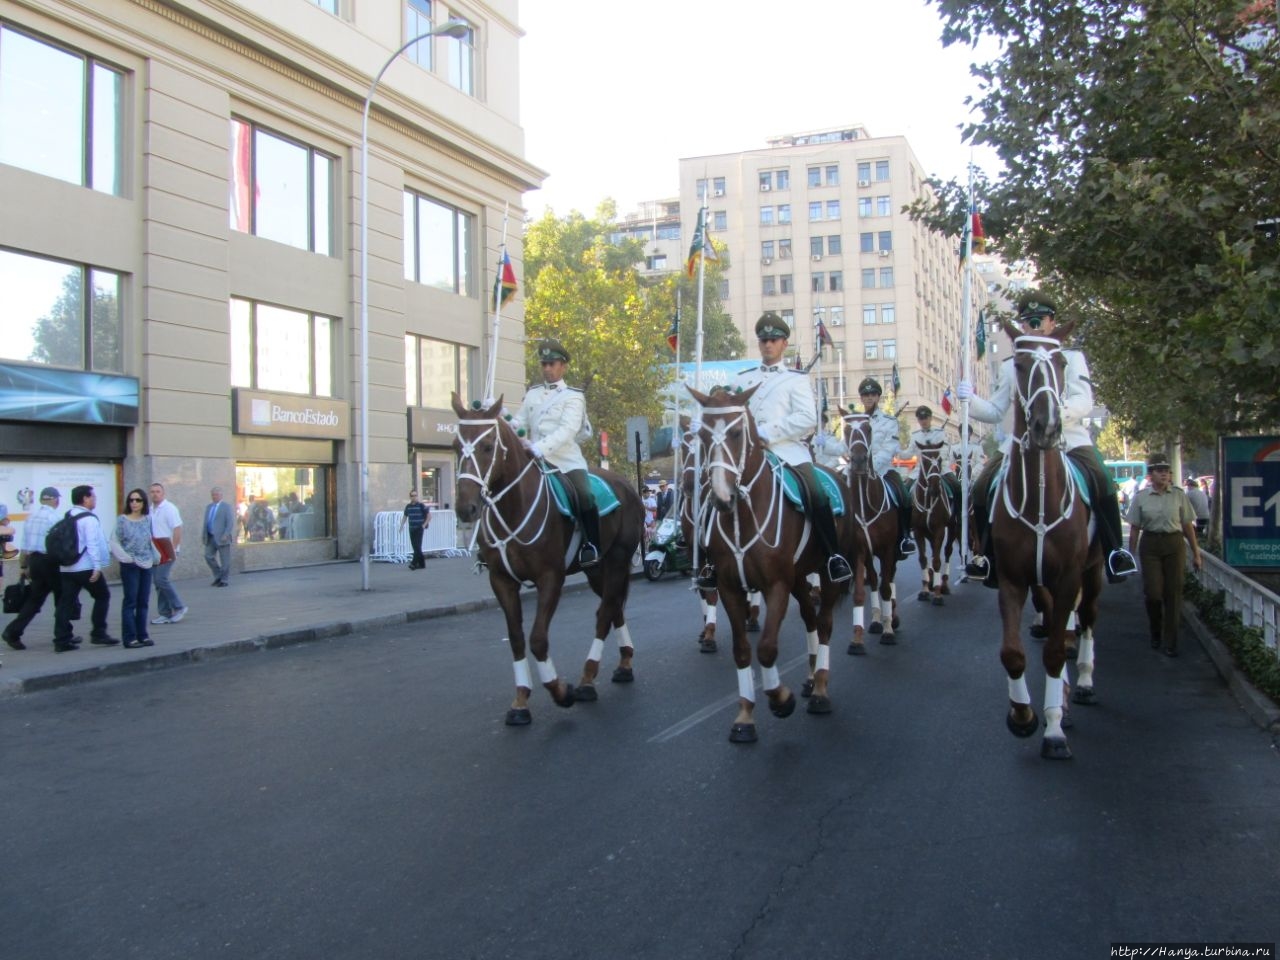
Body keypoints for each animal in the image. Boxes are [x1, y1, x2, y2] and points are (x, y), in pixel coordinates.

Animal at [455, 394, 645, 727]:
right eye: (455, 445)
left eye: (488, 446)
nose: (465, 508)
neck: (513, 507)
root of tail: (625, 483)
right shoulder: (501, 581)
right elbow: (517, 639)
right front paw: (521, 700)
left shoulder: (550, 578)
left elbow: (538, 639)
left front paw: (560, 691)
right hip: (596, 569)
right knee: (613, 609)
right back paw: (623, 663)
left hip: (618, 560)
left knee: (604, 613)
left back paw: (586, 680)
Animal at [691, 386, 849, 742]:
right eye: (701, 435)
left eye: (737, 433)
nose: (721, 498)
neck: (743, 514)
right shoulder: (730, 587)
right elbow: (742, 650)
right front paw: (745, 716)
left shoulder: (776, 584)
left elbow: (765, 648)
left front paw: (780, 699)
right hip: (800, 577)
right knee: (809, 617)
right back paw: (810, 677)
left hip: (827, 573)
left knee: (825, 623)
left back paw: (820, 688)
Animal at [911, 442, 962, 604]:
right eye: (925, 461)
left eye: (939, 461)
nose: (934, 489)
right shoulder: (918, 530)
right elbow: (923, 559)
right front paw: (925, 589)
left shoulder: (940, 529)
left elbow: (938, 561)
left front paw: (938, 594)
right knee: (934, 551)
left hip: (953, 527)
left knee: (946, 551)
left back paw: (943, 584)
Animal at [983, 327, 1105, 762]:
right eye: (1019, 365)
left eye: (1062, 363)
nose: (1047, 426)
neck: (1038, 496)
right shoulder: (1012, 579)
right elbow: (1013, 653)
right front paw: (1023, 715)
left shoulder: (1069, 577)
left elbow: (1055, 650)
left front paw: (1053, 730)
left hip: (1094, 571)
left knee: (1086, 619)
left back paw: (1081, 683)